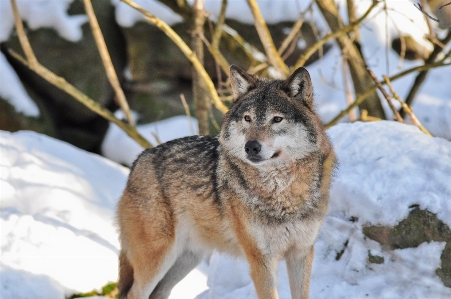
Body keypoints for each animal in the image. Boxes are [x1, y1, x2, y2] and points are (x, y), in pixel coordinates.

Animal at [116, 66, 336, 299]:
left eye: (277, 119)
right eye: (248, 118)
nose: (251, 146)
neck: (282, 192)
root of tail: (139, 159)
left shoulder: (301, 253)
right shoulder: (261, 260)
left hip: (185, 260)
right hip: (158, 258)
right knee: (133, 294)